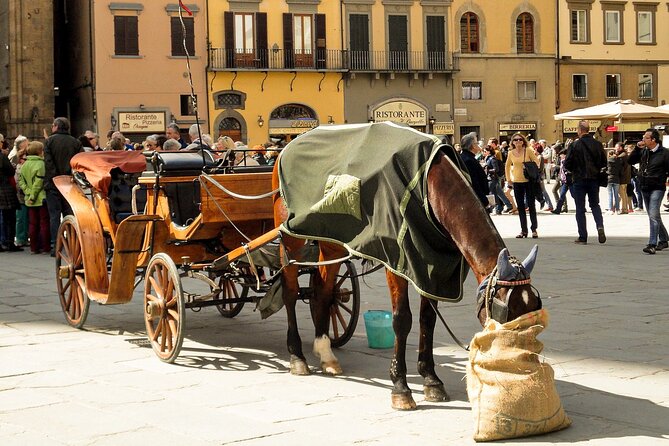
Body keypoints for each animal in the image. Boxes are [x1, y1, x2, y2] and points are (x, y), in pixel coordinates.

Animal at [268, 138, 540, 410]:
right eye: (507, 313)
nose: (522, 365)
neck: (429, 187)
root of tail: (285, 149)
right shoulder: (396, 262)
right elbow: (402, 320)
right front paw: (400, 386)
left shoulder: (432, 268)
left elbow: (427, 320)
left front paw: (431, 380)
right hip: (291, 238)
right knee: (290, 292)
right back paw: (297, 356)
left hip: (332, 240)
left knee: (322, 292)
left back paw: (325, 353)